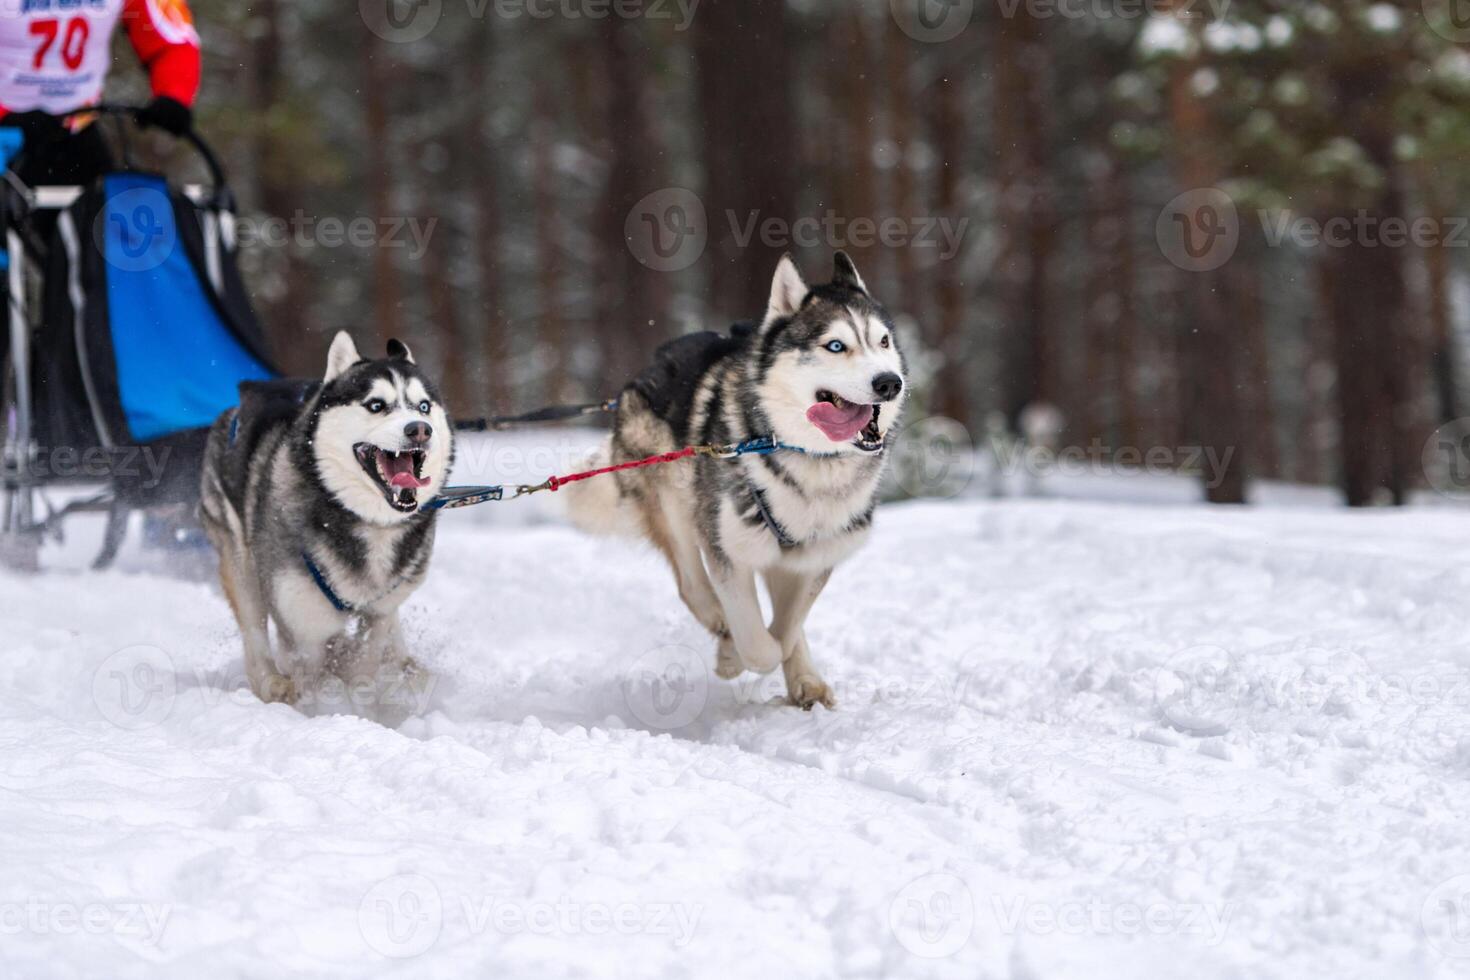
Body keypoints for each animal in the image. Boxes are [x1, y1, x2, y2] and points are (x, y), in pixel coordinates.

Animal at [199, 332, 452, 719]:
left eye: (423, 406)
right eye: (376, 405)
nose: (419, 430)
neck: (365, 522)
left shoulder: (379, 609)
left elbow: (365, 658)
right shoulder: (303, 626)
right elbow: (320, 670)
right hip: (241, 562)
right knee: (254, 634)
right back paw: (271, 683)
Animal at [570, 251, 905, 705]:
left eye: (883, 342)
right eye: (836, 345)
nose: (889, 382)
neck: (808, 458)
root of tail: (644, 372)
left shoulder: (814, 555)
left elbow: (788, 625)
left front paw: (796, 671)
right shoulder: (727, 549)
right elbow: (760, 641)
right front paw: (735, 656)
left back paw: (803, 677)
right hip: (675, 505)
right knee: (693, 585)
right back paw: (722, 629)